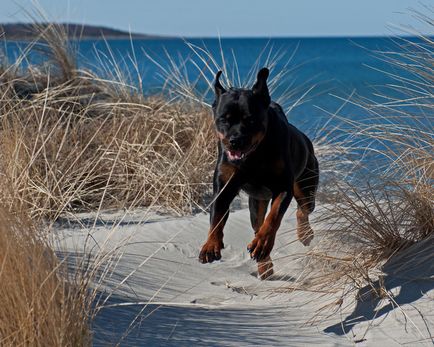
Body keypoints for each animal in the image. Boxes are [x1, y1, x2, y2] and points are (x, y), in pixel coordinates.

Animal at [199, 68, 318, 280]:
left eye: (251, 120)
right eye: (223, 119)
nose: (235, 140)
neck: (254, 155)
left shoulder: (283, 187)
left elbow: (274, 217)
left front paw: (263, 243)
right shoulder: (224, 185)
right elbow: (217, 216)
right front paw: (210, 245)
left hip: (306, 183)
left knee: (303, 209)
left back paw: (302, 235)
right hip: (256, 202)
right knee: (257, 224)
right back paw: (265, 266)